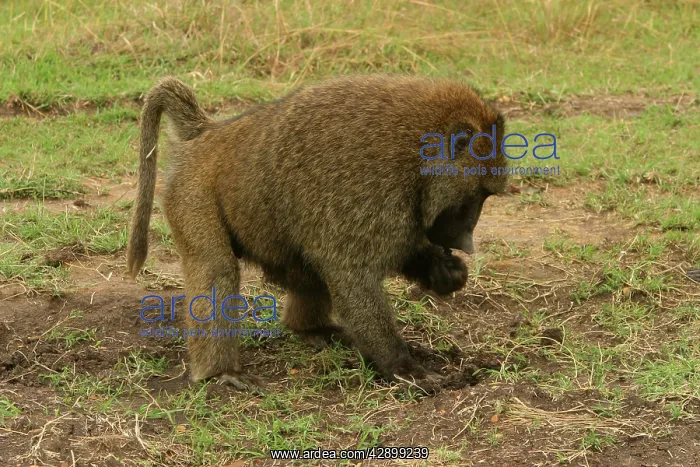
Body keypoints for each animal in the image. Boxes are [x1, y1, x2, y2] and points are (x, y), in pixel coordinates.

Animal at [126, 74, 508, 392]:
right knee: (217, 270)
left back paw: (309, 329)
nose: (466, 242)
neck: (416, 154)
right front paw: (403, 367)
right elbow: (352, 277)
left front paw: (444, 271)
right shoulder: (372, 191)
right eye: (478, 195)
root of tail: (210, 133)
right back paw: (219, 372)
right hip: (190, 193)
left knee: (305, 265)